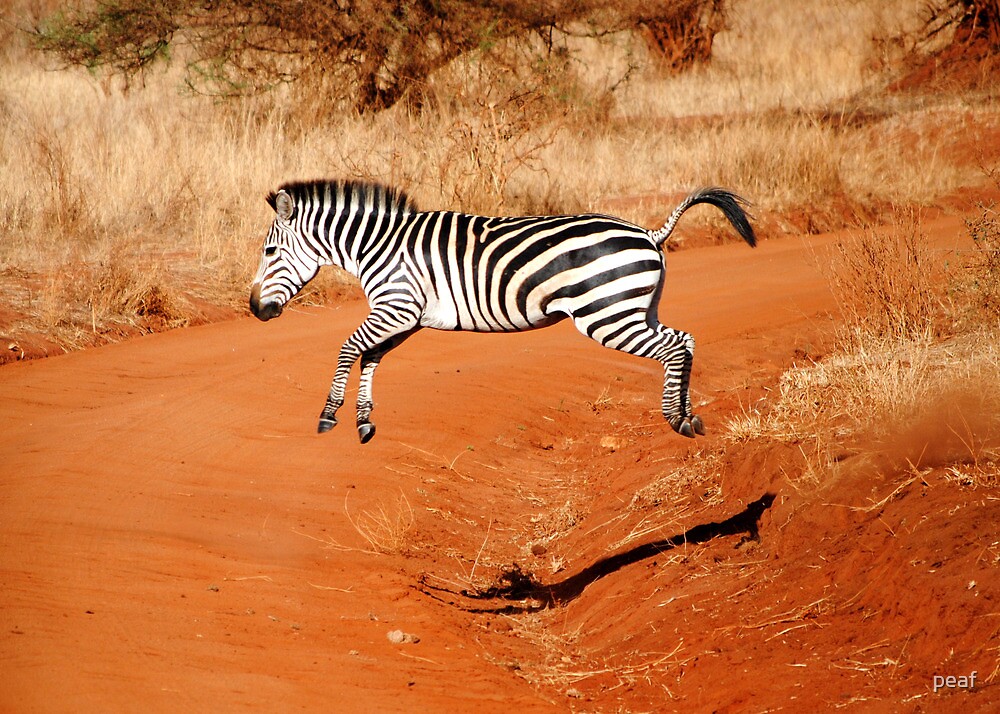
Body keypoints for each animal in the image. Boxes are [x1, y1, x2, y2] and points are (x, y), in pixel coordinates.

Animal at [249, 179, 756, 443]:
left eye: (270, 251)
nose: (255, 310)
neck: (378, 246)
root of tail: (650, 232)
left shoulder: (396, 306)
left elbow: (347, 348)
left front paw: (330, 414)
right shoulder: (406, 316)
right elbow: (369, 357)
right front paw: (364, 419)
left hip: (606, 315)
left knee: (674, 347)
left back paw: (675, 418)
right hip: (635, 309)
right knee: (685, 340)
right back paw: (688, 415)